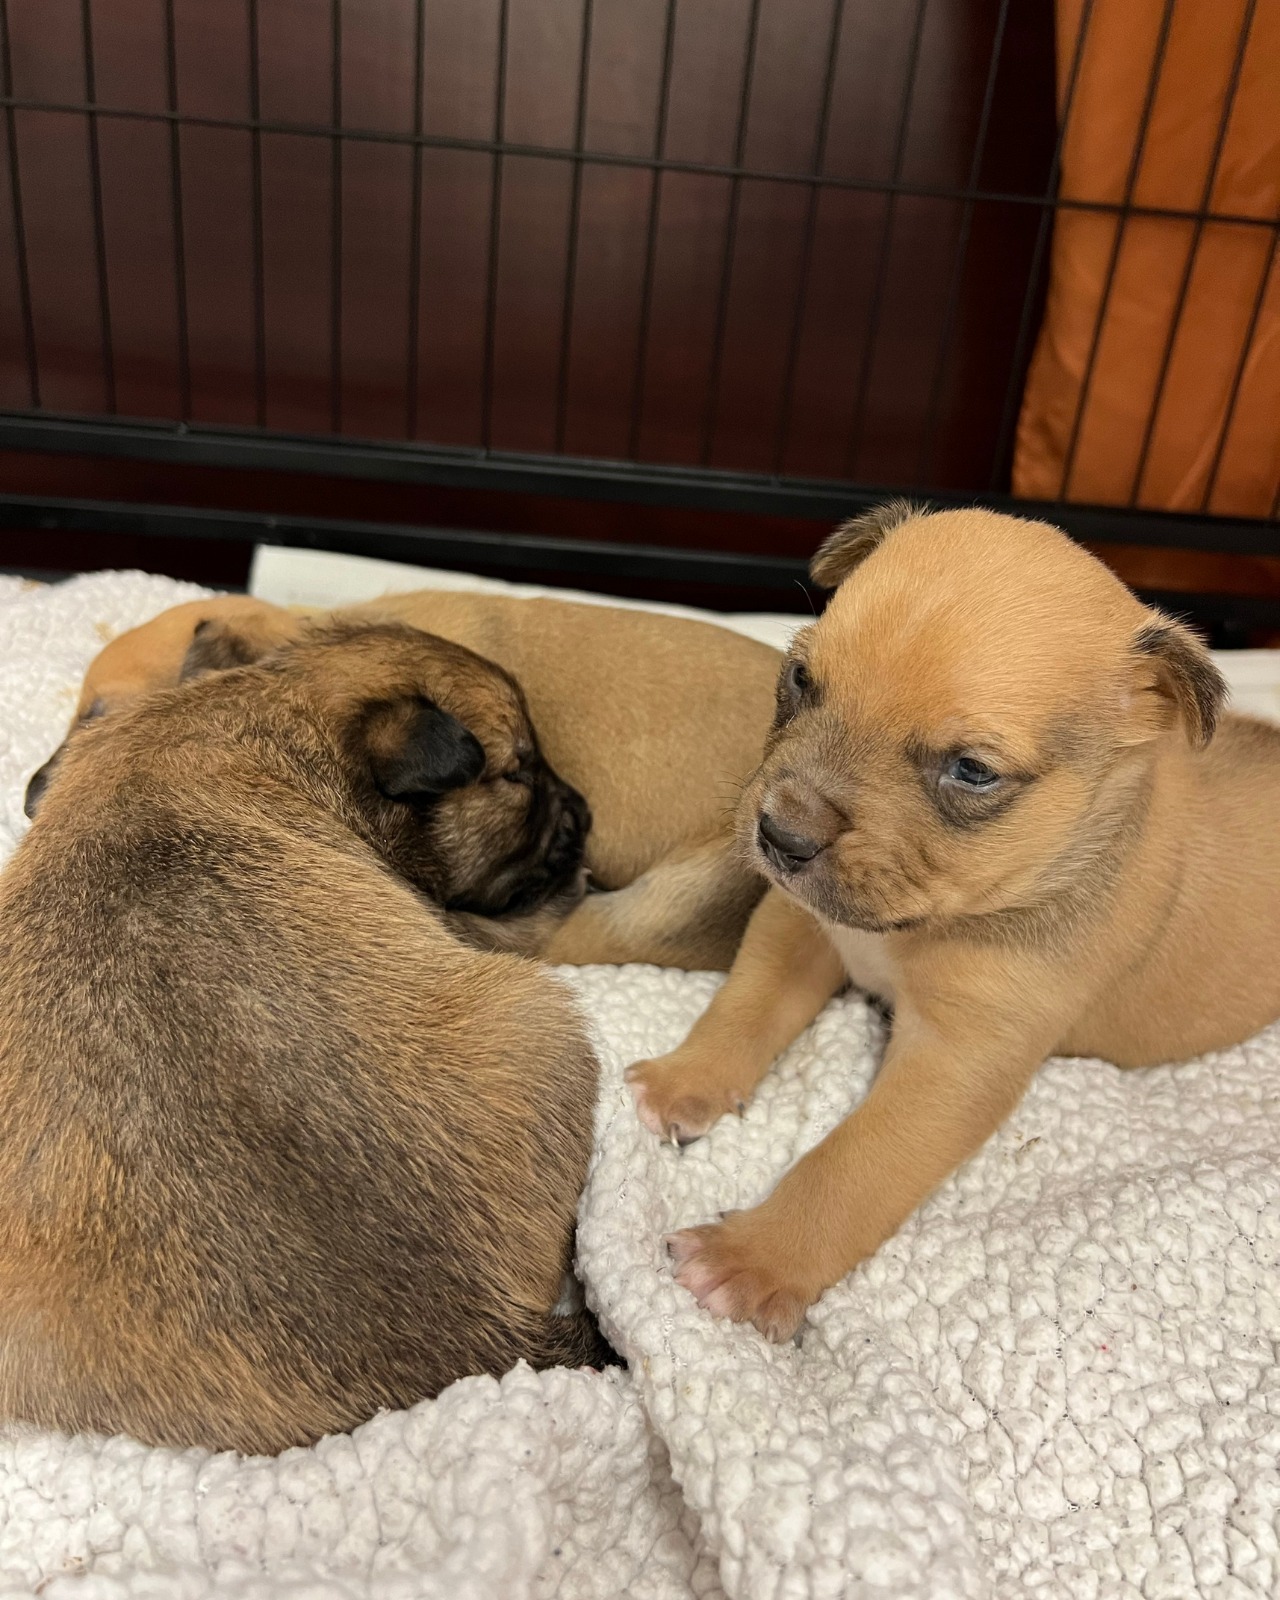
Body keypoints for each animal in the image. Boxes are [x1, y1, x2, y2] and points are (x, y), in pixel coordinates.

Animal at [0, 617, 608, 1459]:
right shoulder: (456, 920)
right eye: (520, 771)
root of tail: (474, 1335)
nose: (587, 812)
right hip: (539, 1014)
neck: (271, 704)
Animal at [627, 505, 1280, 1344]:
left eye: (972, 771)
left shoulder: (955, 1063)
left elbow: (852, 1165)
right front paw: (683, 1080)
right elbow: (744, 1006)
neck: (914, 925)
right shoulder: (798, 927)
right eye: (801, 678)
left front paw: (752, 1258)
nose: (779, 835)